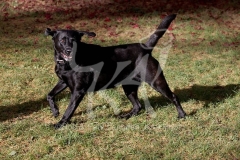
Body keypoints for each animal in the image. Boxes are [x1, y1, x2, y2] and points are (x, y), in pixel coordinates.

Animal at [45, 14, 188, 129]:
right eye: (62, 40)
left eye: (74, 41)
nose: (69, 50)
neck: (66, 64)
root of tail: (145, 48)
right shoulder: (63, 81)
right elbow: (49, 95)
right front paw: (55, 111)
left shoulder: (78, 91)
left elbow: (69, 109)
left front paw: (60, 123)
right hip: (129, 87)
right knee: (137, 106)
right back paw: (126, 116)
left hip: (156, 81)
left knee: (173, 96)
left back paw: (182, 115)